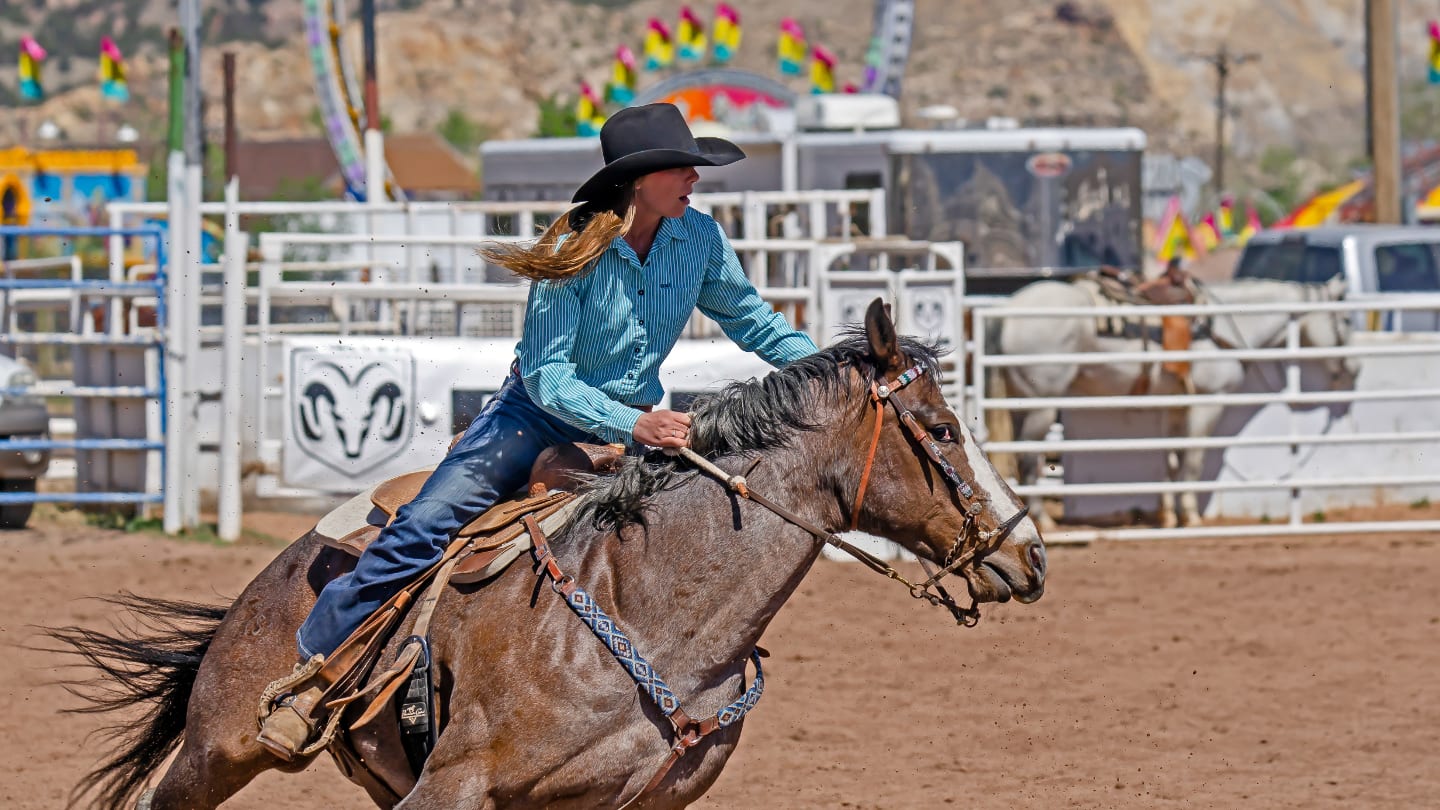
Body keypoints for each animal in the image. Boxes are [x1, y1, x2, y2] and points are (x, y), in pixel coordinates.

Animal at [984, 275, 1353, 530]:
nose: (1353, 368)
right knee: (1028, 458)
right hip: (1043, 405)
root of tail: (1006, 311)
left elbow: (1173, 460)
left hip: (1021, 404)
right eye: (1345, 320)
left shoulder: (1177, 404)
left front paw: (1168, 515)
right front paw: (1190, 516)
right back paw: (1043, 519)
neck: (1221, 324)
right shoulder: (1207, 402)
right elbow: (1192, 460)